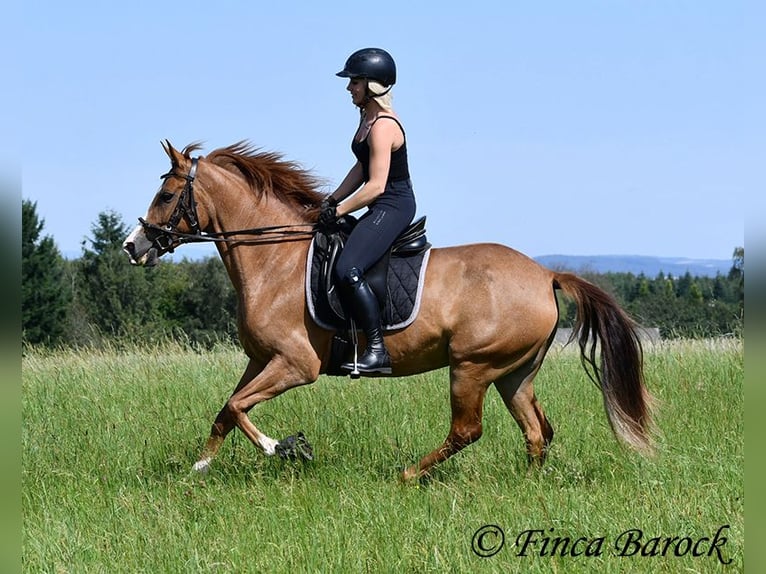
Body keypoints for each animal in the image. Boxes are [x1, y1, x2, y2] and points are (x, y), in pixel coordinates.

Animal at [123, 142, 656, 484]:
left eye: (166, 195)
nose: (133, 246)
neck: (275, 259)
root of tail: (545, 275)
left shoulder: (297, 365)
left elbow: (237, 408)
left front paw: (287, 448)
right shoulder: (261, 359)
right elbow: (226, 410)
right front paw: (198, 469)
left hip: (472, 367)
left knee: (468, 430)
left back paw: (407, 474)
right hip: (513, 373)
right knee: (537, 431)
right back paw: (526, 491)